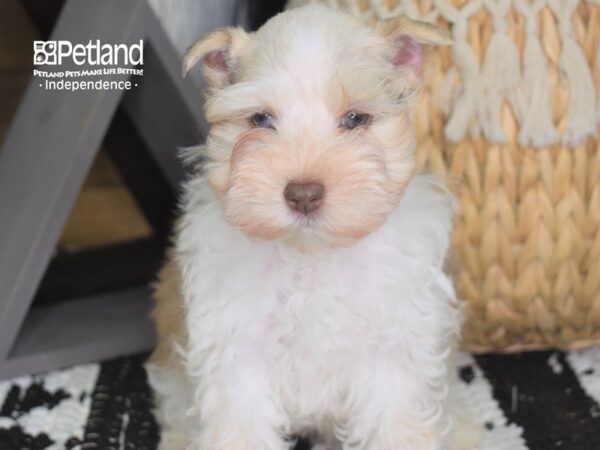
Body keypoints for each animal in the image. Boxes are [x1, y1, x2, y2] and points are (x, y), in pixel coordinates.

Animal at [146, 4, 464, 450]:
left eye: (355, 119)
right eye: (261, 119)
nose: (303, 195)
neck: (311, 256)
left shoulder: (391, 352)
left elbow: (396, 425)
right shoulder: (238, 355)